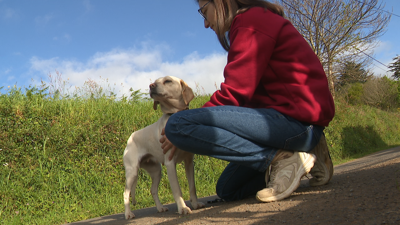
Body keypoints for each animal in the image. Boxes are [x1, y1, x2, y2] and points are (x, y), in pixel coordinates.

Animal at [124, 76, 206, 220]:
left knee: (153, 190)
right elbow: (177, 190)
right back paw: (128, 214)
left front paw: (195, 204)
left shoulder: (189, 162)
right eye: (154, 82)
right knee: (126, 194)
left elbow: (192, 187)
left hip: (156, 171)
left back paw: (160, 208)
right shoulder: (170, 163)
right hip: (132, 172)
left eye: (167, 81)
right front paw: (183, 208)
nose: (151, 85)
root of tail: (130, 138)